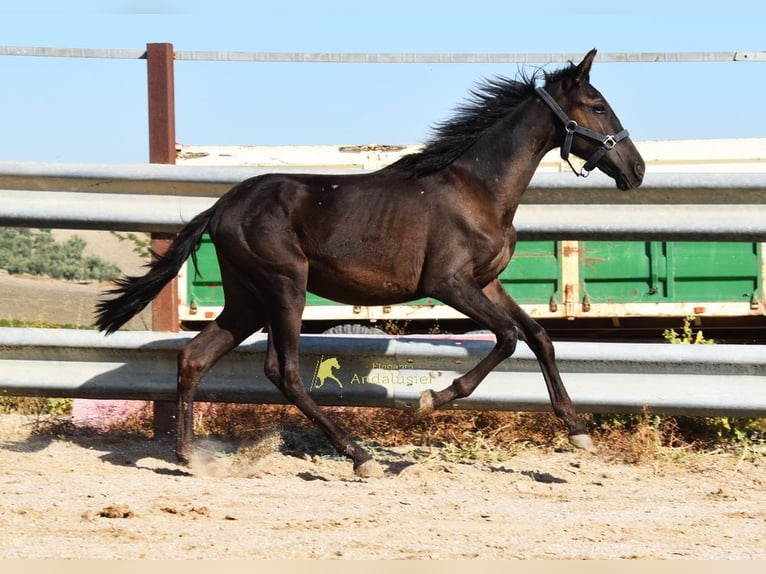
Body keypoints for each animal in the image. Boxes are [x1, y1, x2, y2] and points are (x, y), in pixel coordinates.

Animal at [96, 49, 645, 478]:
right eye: (597, 106)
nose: (637, 170)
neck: (477, 190)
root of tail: (222, 206)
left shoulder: (487, 283)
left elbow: (539, 336)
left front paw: (578, 431)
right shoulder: (448, 283)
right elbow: (508, 338)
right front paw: (432, 399)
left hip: (247, 299)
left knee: (195, 357)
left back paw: (190, 457)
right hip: (284, 287)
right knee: (284, 372)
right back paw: (360, 457)